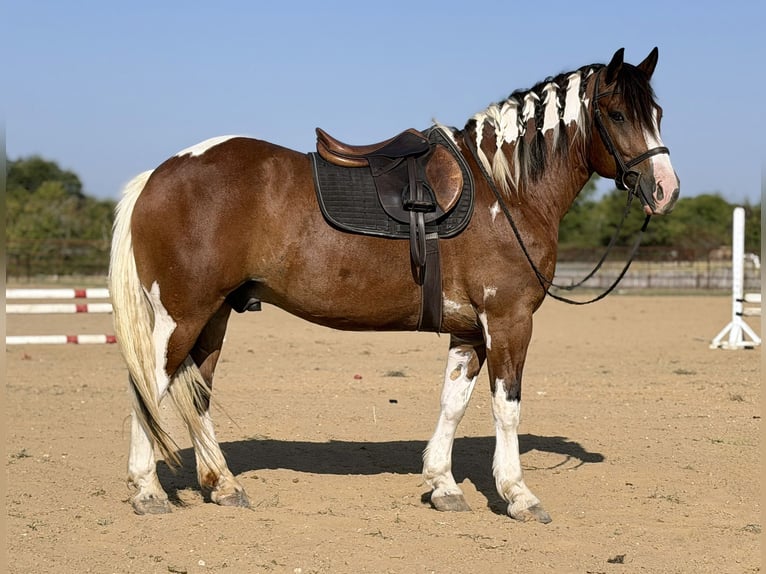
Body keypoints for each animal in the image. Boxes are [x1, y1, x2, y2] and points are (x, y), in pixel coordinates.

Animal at [109, 47, 679, 523]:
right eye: (617, 114)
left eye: (657, 113)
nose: (665, 190)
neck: (504, 191)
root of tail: (157, 175)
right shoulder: (507, 321)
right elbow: (506, 406)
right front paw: (518, 494)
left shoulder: (468, 332)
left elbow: (453, 403)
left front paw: (443, 485)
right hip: (180, 316)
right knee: (148, 389)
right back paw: (148, 492)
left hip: (215, 314)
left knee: (197, 393)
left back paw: (222, 485)